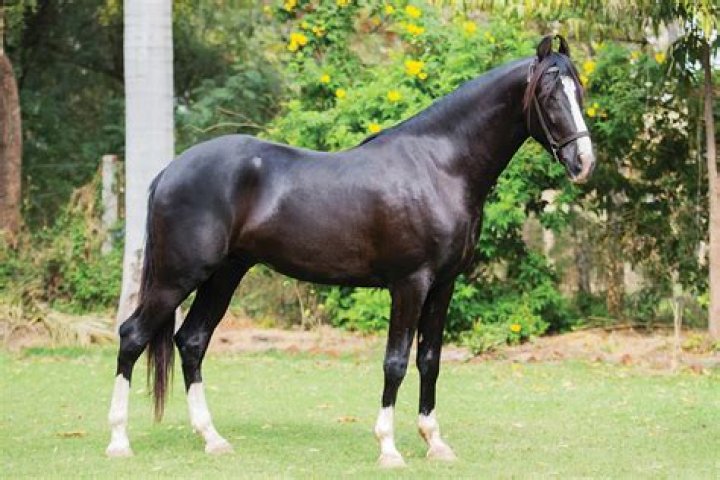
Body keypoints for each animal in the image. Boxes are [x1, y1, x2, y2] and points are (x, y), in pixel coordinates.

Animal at [106, 35, 594, 467]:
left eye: (579, 90)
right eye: (549, 94)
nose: (584, 163)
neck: (439, 167)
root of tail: (170, 170)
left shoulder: (443, 285)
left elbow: (430, 360)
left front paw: (434, 443)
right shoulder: (409, 283)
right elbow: (395, 362)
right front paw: (389, 449)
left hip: (224, 275)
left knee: (191, 341)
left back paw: (213, 439)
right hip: (177, 277)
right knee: (133, 336)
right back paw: (119, 442)